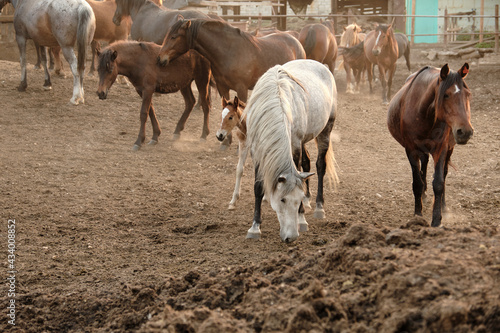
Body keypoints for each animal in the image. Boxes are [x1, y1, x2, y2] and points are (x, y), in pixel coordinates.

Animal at [158, 17, 306, 101]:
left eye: (173, 37)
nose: (160, 59)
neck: (228, 53)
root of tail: (296, 41)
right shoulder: (223, 88)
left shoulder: (242, 90)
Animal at [244, 59, 338, 241]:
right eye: (282, 200)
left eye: (296, 199)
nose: (291, 237)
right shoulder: (257, 150)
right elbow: (258, 186)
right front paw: (255, 227)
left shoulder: (294, 145)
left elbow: (299, 173)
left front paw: (301, 218)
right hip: (304, 139)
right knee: (307, 163)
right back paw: (309, 200)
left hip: (325, 130)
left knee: (320, 165)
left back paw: (318, 206)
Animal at [388, 63, 474, 227]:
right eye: (446, 95)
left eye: (468, 94)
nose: (465, 131)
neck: (423, 113)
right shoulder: (411, 150)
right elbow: (417, 183)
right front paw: (417, 214)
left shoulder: (441, 149)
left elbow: (439, 183)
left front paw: (436, 219)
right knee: (424, 165)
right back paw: (424, 195)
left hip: (449, 148)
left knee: (443, 173)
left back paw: (443, 206)